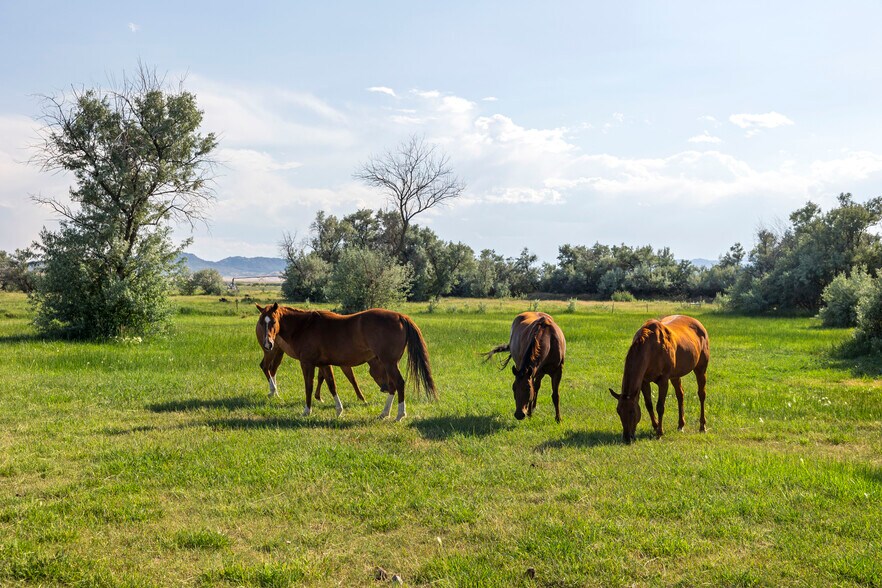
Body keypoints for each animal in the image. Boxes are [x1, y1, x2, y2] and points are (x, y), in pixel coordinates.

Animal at [256, 303, 436, 421]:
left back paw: (399, 414)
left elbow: (309, 386)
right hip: (388, 364)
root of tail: (400, 316)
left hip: (389, 363)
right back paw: (385, 413)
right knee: (392, 386)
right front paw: (339, 410)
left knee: (398, 383)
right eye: (261, 322)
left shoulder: (307, 363)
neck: (305, 326)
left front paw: (307, 411)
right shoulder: (324, 364)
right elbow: (331, 385)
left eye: (273, 321)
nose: (268, 344)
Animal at [609, 314, 709, 444]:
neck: (651, 348)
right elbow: (649, 405)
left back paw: (702, 426)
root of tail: (698, 324)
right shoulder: (644, 381)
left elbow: (660, 407)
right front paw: (655, 426)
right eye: (618, 411)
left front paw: (659, 433)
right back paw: (681, 425)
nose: (627, 438)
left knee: (701, 394)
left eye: (632, 411)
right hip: (675, 375)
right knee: (680, 395)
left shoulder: (663, 380)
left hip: (701, 368)